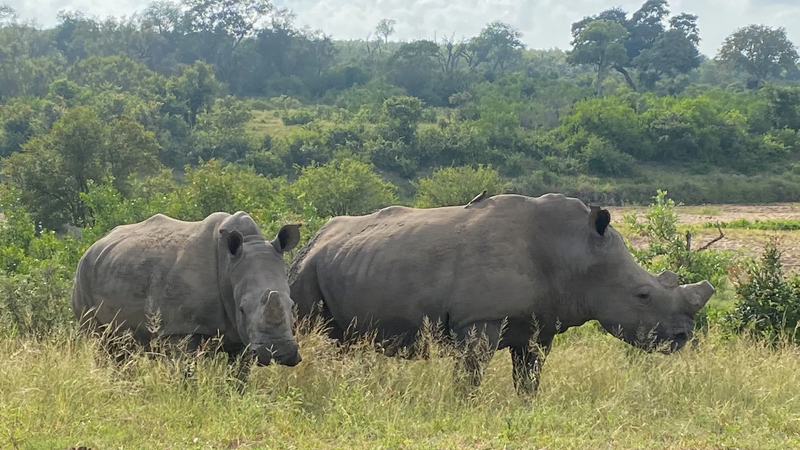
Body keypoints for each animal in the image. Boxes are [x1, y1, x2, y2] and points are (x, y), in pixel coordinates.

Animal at [72, 211, 303, 368]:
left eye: (292, 305)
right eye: (242, 309)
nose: (279, 354)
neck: (228, 266)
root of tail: (93, 245)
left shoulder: (241, 336)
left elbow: (239, 374)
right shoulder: (180, 328)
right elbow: (185, 371)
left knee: (122, 348)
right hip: (83, 275)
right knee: (102, 342)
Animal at [288, 193, 715, 395]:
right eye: (643, 295)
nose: (683, 337)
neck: (575, 253)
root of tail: (312, 240)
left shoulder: (539, 326)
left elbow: (529, 376)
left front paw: (527, 408)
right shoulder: (478, 319)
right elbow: (471, 373)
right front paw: (464, 408)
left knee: (348, 341)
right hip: (304, 270)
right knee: (316, 331)